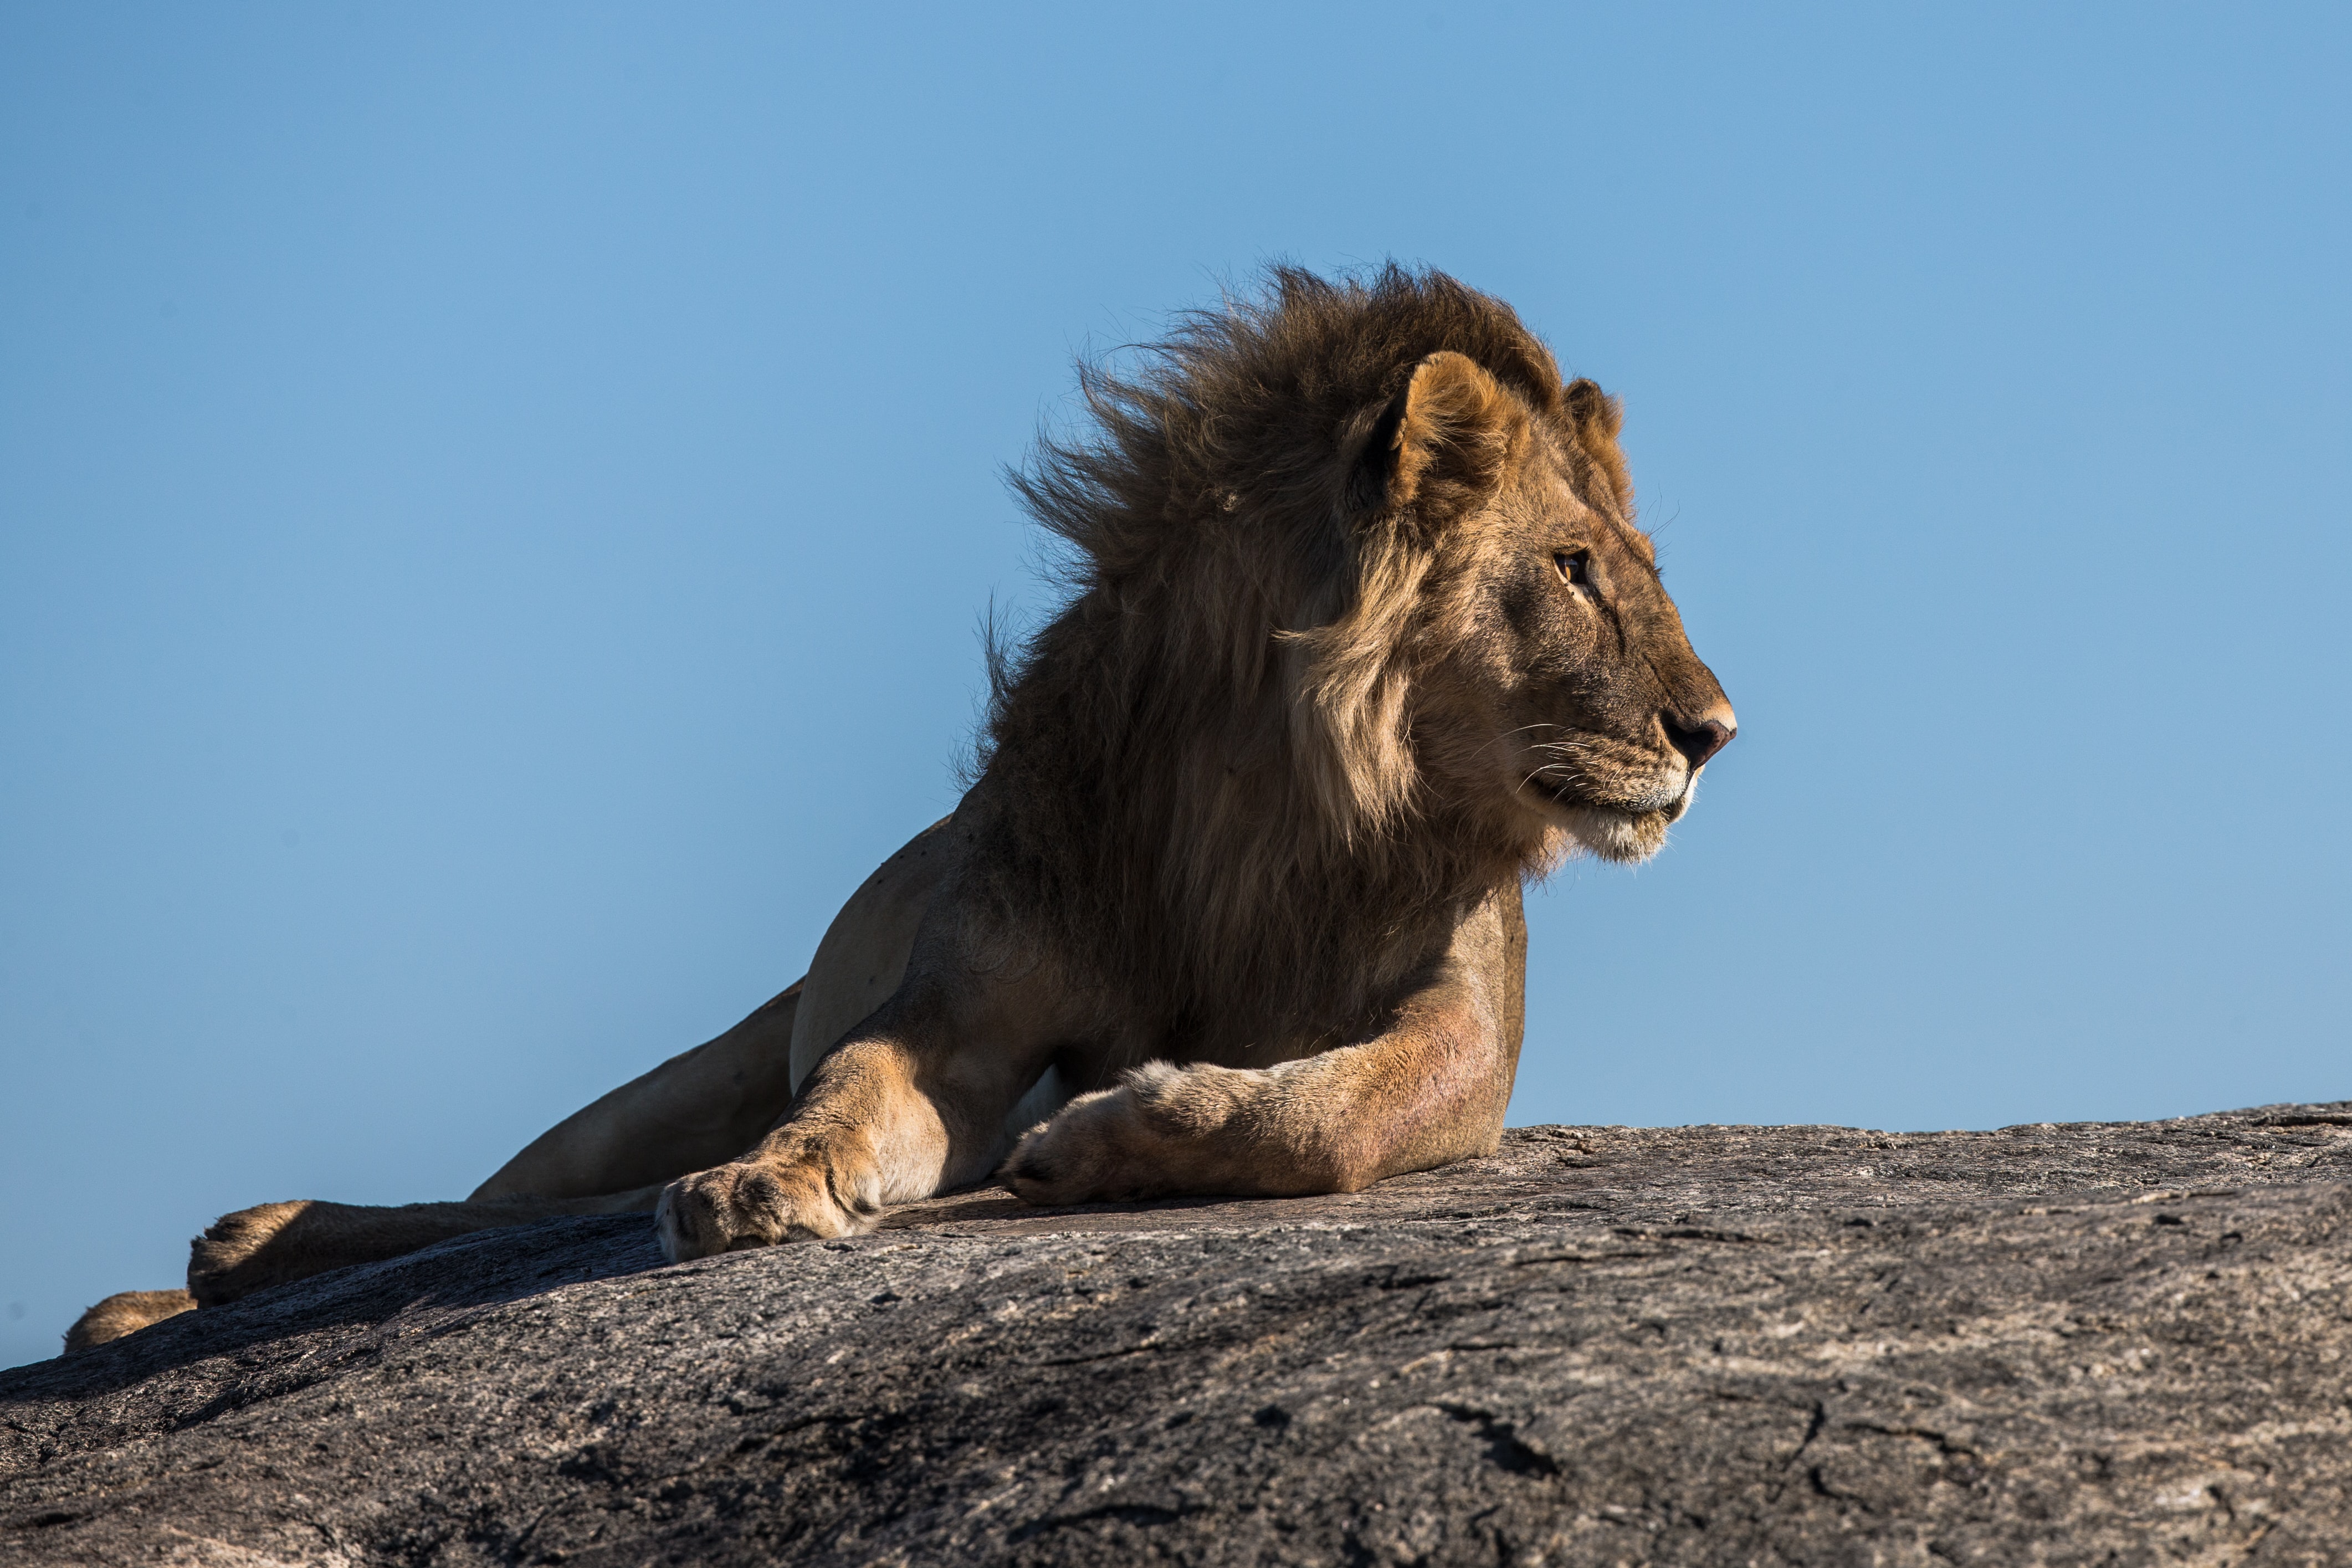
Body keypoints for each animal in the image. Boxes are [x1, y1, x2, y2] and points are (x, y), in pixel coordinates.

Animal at [69, 267, 1731, 1354]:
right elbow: (857, 1082)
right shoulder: (958, 1012)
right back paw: (209, 1265)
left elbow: (1330, 1110)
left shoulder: (1466, 1034)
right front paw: (770, 1180)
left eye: (1630, 563)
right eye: (1577, 568)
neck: (1274, 810)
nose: (1714, 732)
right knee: (502, 1202)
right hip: (677, 1076)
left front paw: (1113, 1133)